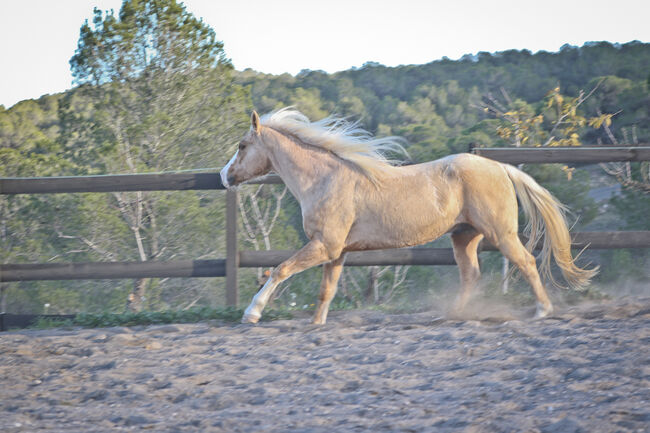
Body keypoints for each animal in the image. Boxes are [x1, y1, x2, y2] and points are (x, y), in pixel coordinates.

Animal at [220, 108, 596, 324]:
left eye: (241, 145)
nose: (224, 177)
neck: (324, 179)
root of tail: (499, 167)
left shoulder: (324, 246)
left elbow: (280, 269)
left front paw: (252, 313)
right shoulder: (336, 251)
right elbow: (327, 290)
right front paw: (317, 325)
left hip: (500, 234)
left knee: (526, 263)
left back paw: (543, 310)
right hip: (463, 236)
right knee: (471, 275)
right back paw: (453, 315)